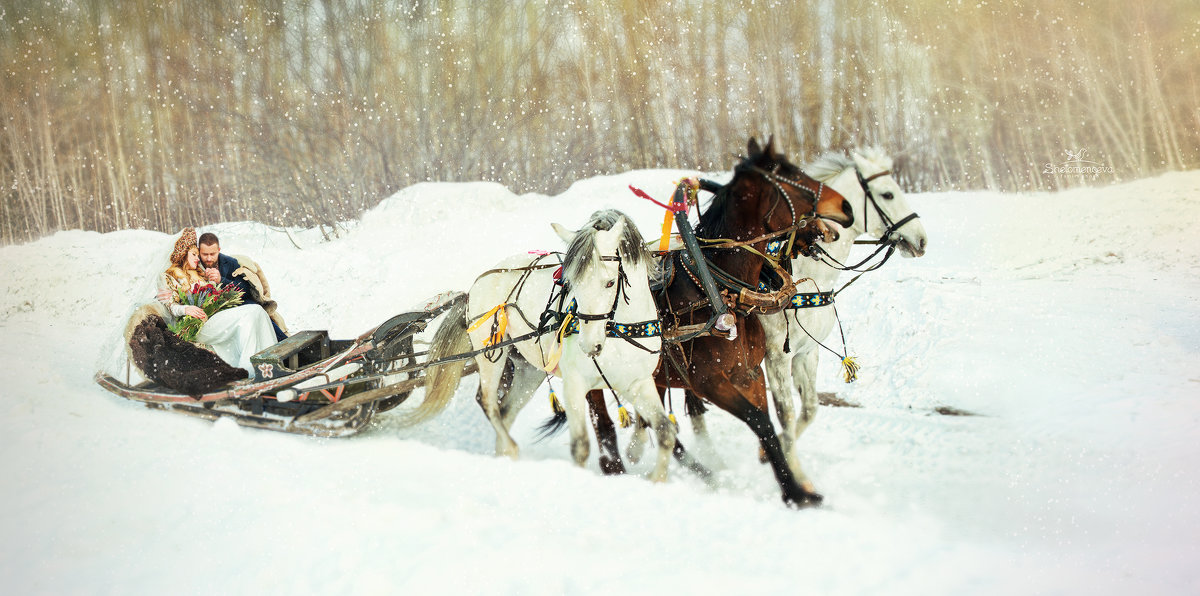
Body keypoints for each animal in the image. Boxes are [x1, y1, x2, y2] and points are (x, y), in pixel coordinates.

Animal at [412, 211, 676, 482]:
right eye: (573, 283)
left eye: (610, 283)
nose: (589, 344)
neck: (617, 332)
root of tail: (475, 286)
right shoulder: (575, 384)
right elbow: (581, 445)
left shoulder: (638, 382)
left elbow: (665, 431)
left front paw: (657, 478)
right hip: (490, 354)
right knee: (488, 402)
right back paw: (509, 447)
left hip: (529, 370)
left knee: (506, 410)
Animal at [583, 137, 849, 503]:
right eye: (793, 176)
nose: (845, 209)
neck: (717, 289)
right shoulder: (709, 381)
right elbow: (760, 421)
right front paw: (794, 492)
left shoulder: (749, 374)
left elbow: (768, 424)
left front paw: (795, 485)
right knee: (603, 419)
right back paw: (617, 467)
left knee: (658, 422)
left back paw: (697, 469)